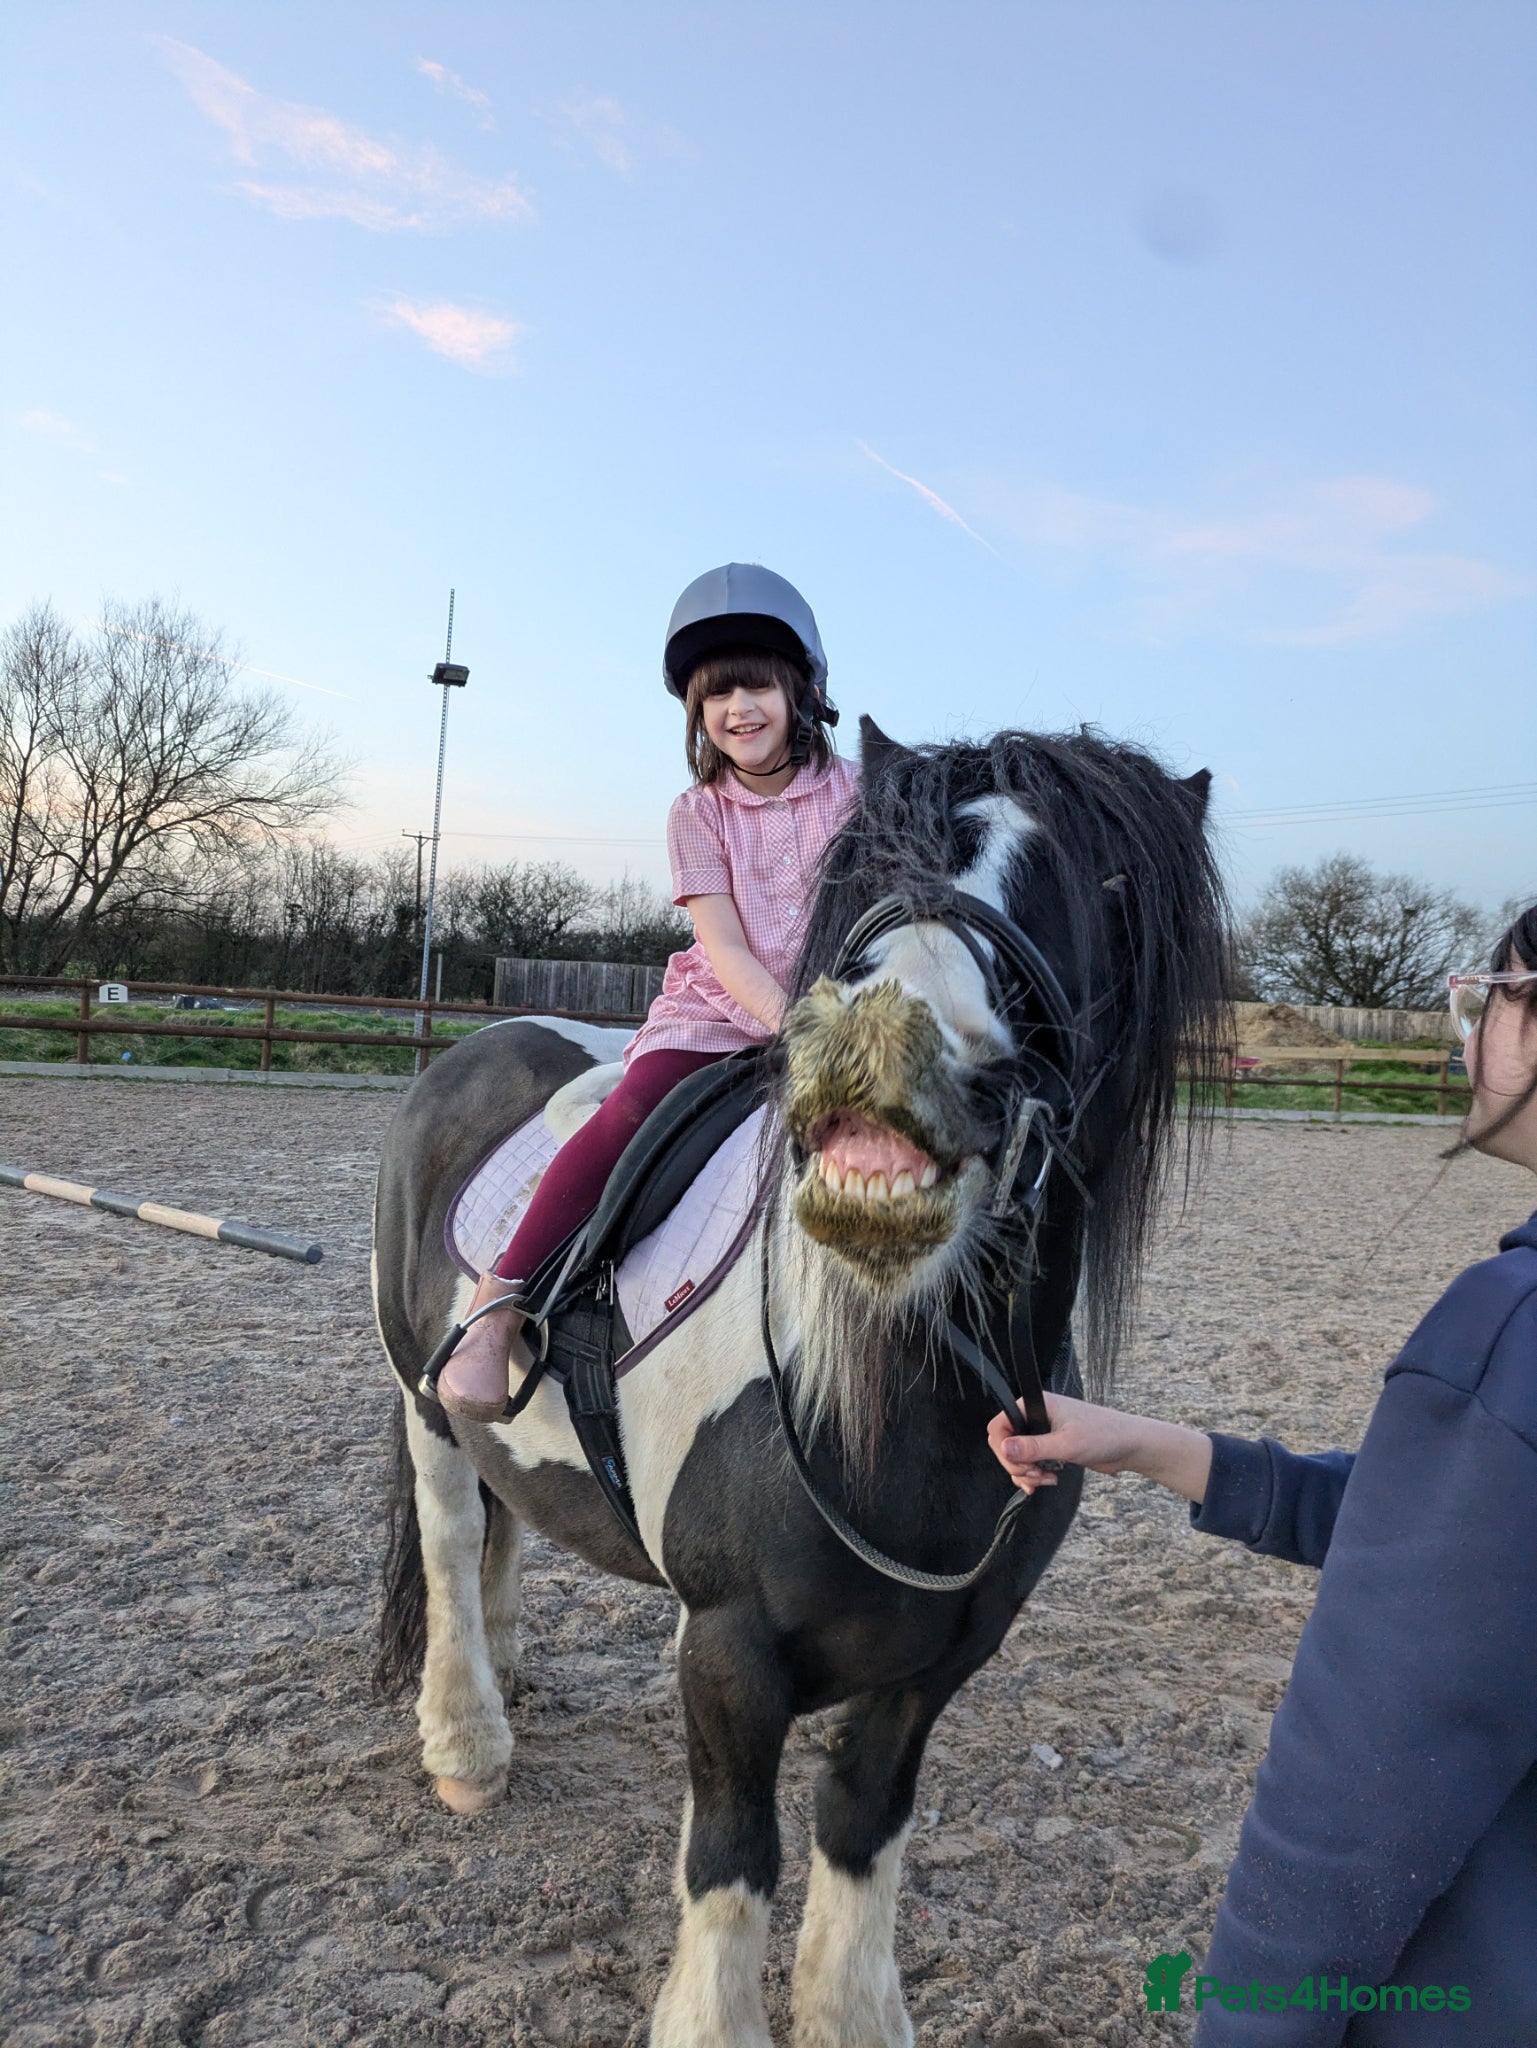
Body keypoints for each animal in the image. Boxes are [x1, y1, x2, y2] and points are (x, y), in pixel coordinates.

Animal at [371, 716, 1228, 2047]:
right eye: (870, 856)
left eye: (1106, 883)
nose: (890, 1029)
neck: (888, 1404)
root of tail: (474, 1047)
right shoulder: (727, 1649)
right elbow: (733, 1858)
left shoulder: (940, 1660)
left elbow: (861, 1831)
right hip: (426, 1401)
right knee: (456, 1535)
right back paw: (466, 1738)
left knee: (507, 1519)